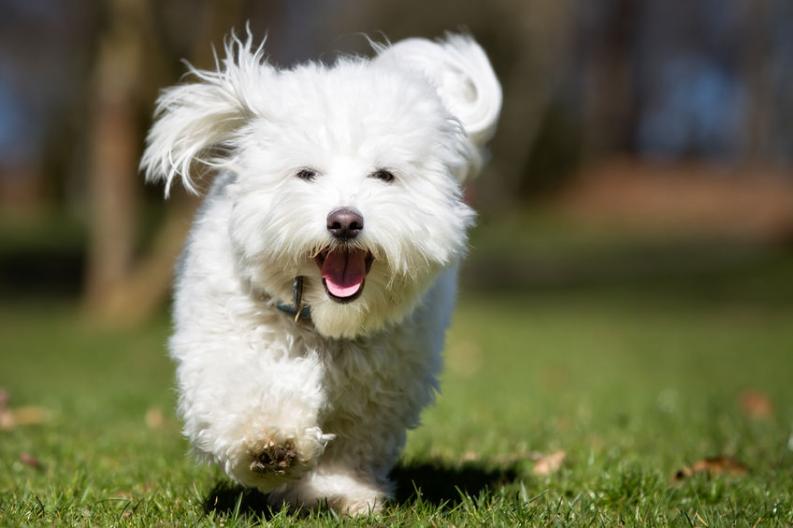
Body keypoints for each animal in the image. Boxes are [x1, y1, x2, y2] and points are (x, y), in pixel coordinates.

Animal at [142, 32, 498, 516]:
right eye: (306, 173)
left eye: (384, 175)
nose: (345, 221)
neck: (324, 321)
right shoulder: (225, 339)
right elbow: (241, 385)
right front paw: (269, 442)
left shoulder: (381, 383)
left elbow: (354, 440)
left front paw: (343, 490)